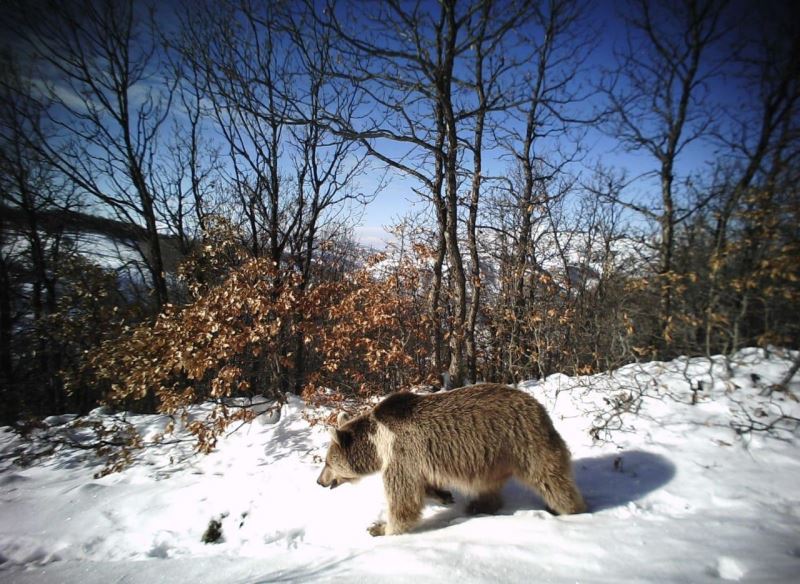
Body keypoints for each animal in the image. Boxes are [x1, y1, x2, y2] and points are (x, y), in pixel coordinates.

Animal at [316, 384, 584, 532]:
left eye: (327, 462)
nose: (319, 481)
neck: (377, 443)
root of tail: (539, 406)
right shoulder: (416, 460)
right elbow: (422, 485)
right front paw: (443, 495)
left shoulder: (400, 452)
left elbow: (403, 498)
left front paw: (381, 527)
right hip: (492, 455)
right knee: (489, 485)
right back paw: (479, 505)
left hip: (523, 442)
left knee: (550, 478)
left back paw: (570, 510)